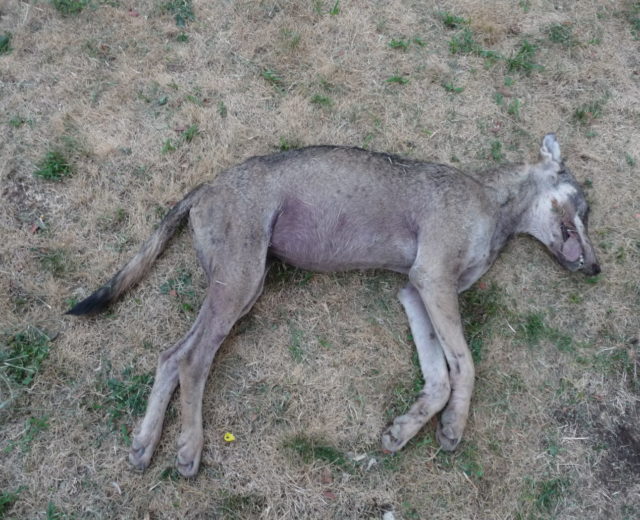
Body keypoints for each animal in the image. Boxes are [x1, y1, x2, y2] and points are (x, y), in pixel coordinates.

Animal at [68, 134, 600, 476]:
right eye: (583, 206)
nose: (595, 268)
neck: (494, 203)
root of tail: (209, 184)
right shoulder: (432, 282)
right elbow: (465, 366)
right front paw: (453, 427)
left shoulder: (415, 293)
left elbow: (438, 379)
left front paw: (403, 430)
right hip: (240, 282)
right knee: (192, 360)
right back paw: (188, 448)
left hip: (241, 286)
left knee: (170, 356)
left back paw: (144, 445)